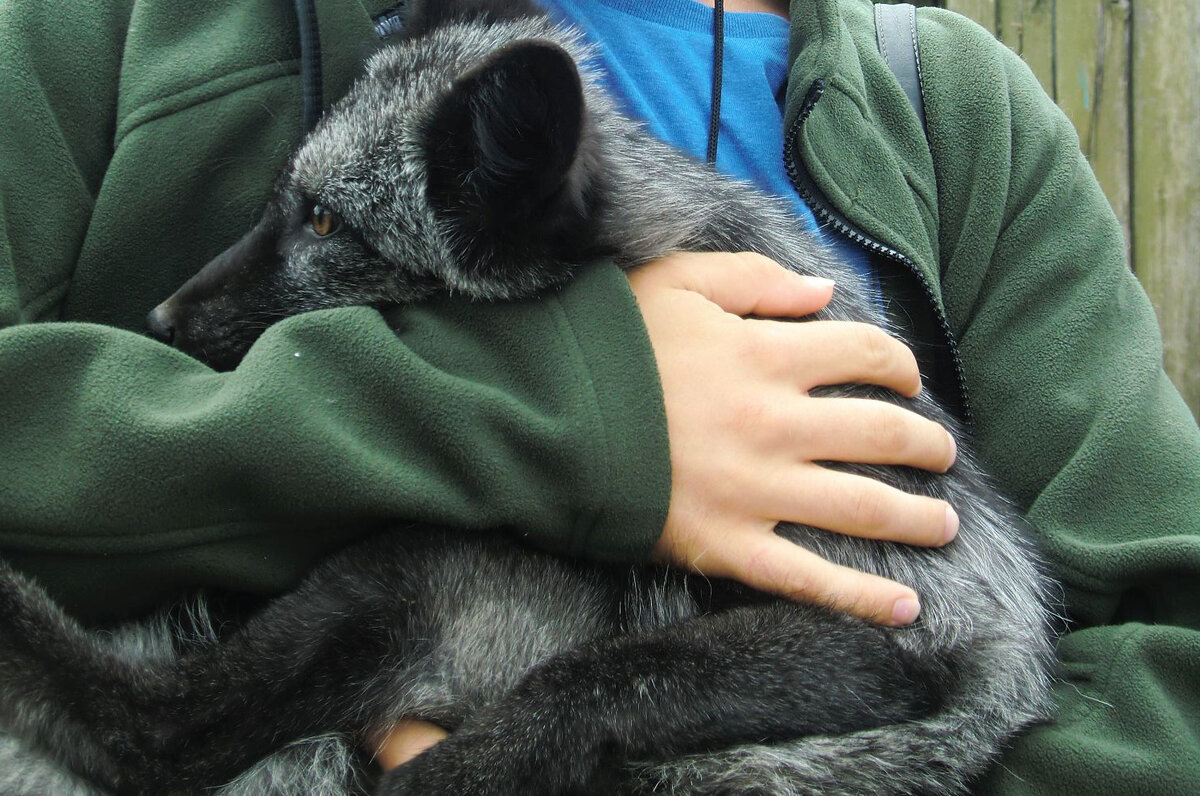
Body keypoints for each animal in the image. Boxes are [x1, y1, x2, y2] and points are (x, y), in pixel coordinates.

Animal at [0, 3, 1051, 792]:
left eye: (325, 222)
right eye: (282, 204)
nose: (160, 318)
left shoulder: (898, 638)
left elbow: (592, 685)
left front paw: (446, 777)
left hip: (415, 566)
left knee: (160, 732)